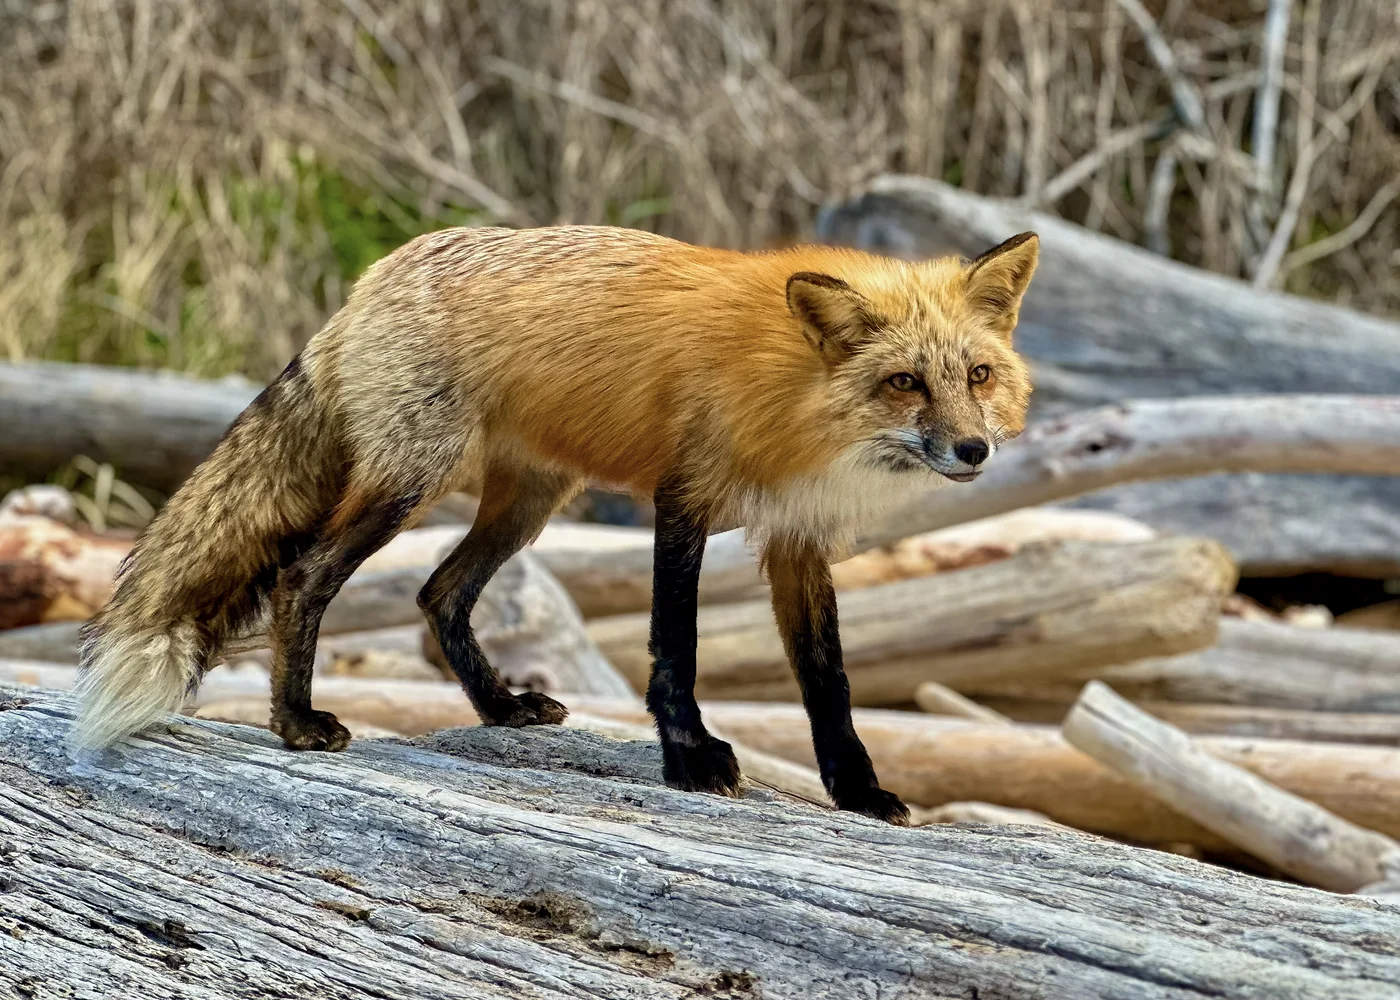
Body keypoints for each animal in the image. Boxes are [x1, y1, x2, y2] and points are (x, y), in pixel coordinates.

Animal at [74, 224, 1037, 824]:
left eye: (978, 375)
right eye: (904, 383)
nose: (972, 450)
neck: (795, 398)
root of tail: (371, 280)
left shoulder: (797, 540)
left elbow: (828, 684)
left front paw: (857, 791)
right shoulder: (683, 500)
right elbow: (674, 646)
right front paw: (690, 760)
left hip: (528, 507)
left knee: (438, 593)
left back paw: (499, 708)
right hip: (409, 484)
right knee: (303, 577)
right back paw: (296, 722)